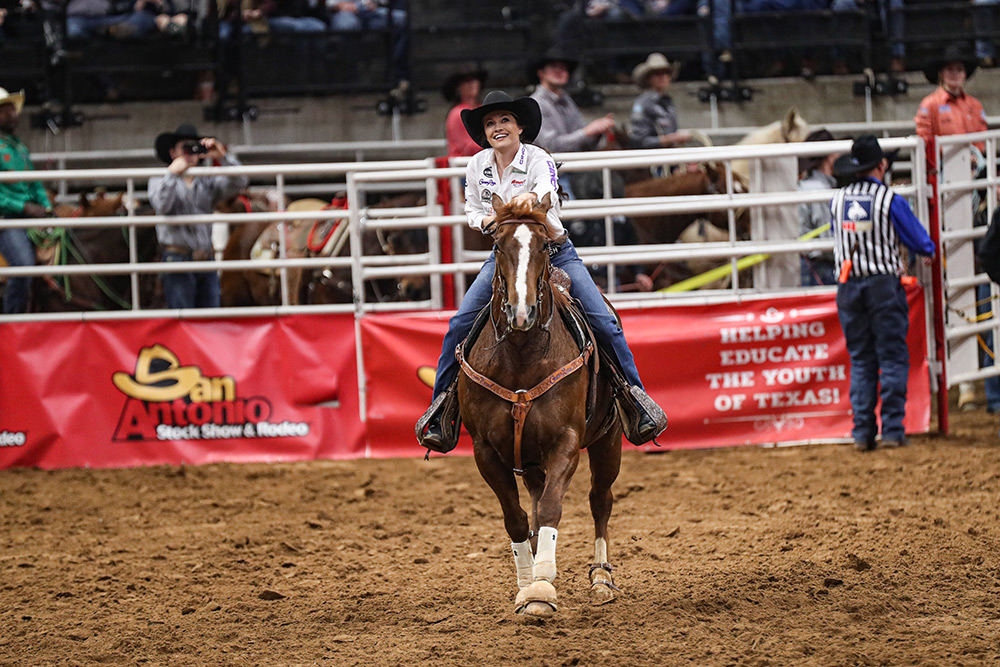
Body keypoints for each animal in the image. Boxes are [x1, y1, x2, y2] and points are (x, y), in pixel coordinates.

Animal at [458, 196, 624, 620]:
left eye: (545, 246)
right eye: (498, 246)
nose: (522, 313)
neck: (520, 354)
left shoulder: (565, 442)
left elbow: (551, 509)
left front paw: (542, 587)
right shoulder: (485, 451)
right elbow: (517, 519)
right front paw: (527, 582)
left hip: (609, 440)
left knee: (600, 500)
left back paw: (601, 578)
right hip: (532, 459)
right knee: (533, 503)